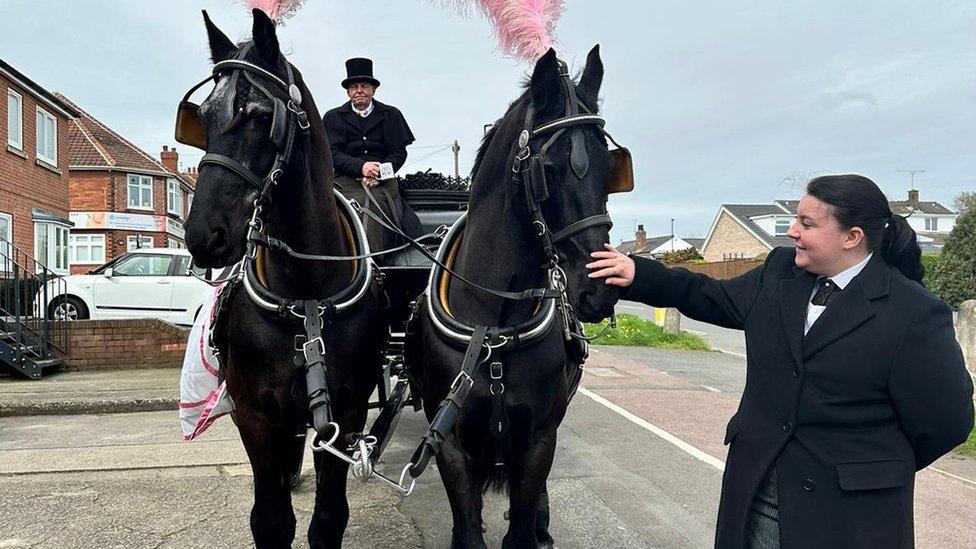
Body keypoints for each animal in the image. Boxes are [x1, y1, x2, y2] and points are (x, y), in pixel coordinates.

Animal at [182, 10, 386, 544]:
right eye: (203, 116)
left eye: (258, 114)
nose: (202, 235)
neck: (306, 293)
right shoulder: (254, 415)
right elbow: (271, 520)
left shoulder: (347, 412)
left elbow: (329, 518)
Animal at [406, 48, 620, 548]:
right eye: (550, 169)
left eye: (610, 168)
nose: (599, 287)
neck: (494, 329)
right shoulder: (449, 442)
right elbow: (468, 529)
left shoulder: (539, 438)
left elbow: (521, 523)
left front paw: (534, 525)